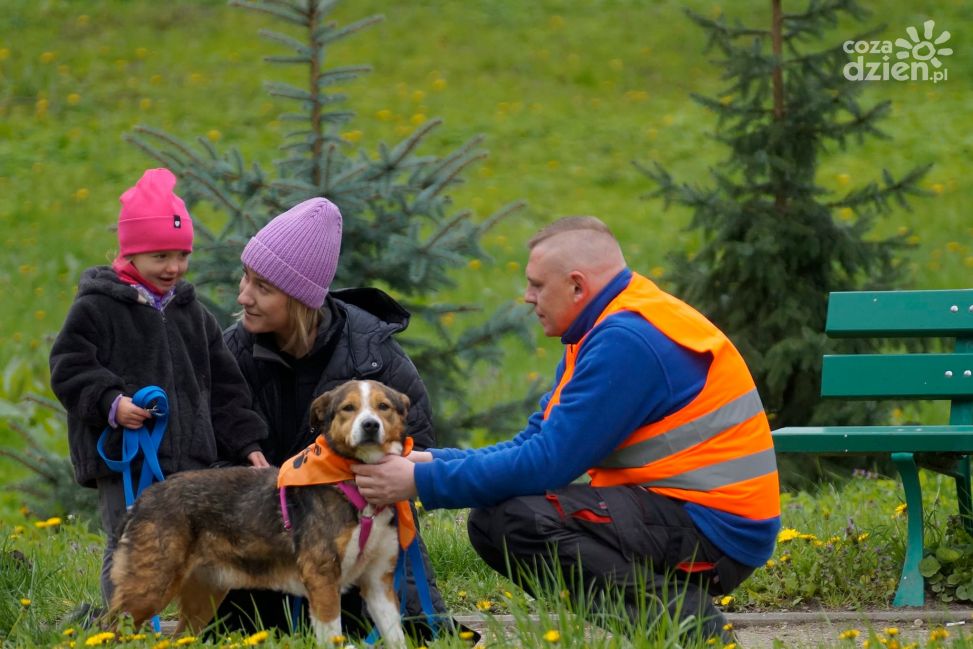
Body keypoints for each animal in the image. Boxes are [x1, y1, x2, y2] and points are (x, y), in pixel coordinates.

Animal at [106, 378, 410, 644]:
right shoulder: (322, 579)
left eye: (383, 406)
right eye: (348, 408)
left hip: (204, 594)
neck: (350, 479)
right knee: (108, 628)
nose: (370, 425)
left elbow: (396, 638)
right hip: (149, 587)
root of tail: (143, 499)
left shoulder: (378, 583)